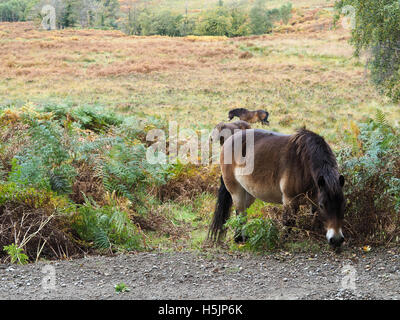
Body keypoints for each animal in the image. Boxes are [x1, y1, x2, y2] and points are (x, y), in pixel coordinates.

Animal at [208, 129, 346, 249]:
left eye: (343, 205)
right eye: (323, 205)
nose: (336, 239)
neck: (303, 163)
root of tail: (229, 140)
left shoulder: (313, 199)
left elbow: (314, 218)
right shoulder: (290, 200)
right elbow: (288, 222)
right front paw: (282, 241)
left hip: (249, 192)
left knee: (244, 213)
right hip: (236, 191)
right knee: (240, 213)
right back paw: (239, 239)